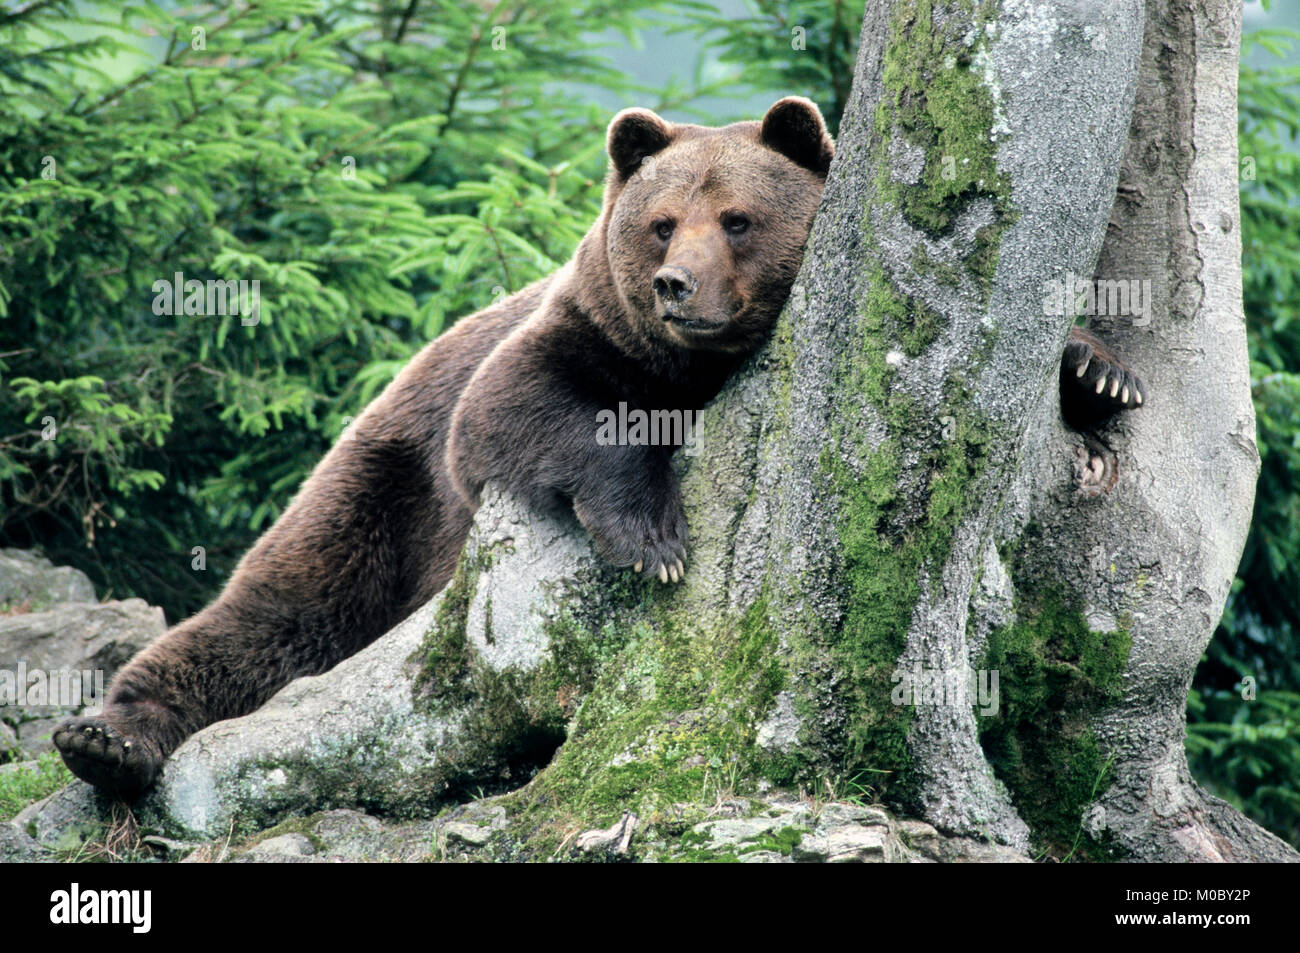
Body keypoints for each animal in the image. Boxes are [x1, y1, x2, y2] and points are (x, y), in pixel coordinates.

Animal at [55, 96, 1144, 795]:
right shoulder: (574, 338)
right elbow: (532, 410)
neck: (698, 368)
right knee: (277, 616)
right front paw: (651, 540)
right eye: (661, 221)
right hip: (383, 487)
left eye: (736, 218)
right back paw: (106, 735)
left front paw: (1100, 372)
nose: (675, 286)